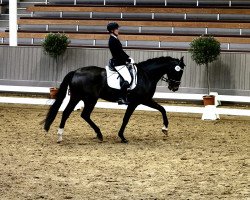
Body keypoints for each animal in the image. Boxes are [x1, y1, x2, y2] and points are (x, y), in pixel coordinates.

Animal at [44, 55, 186, 142]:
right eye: (178, 71)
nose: (174, 87)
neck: (146, 75)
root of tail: (76, 71)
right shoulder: (138, 101)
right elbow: (127, 118)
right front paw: (122, 137)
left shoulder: (143, 101)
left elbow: (162, 109)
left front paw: (165, 129)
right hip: (86, 98)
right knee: (79, 114)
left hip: (81, 98)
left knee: (73, 113)